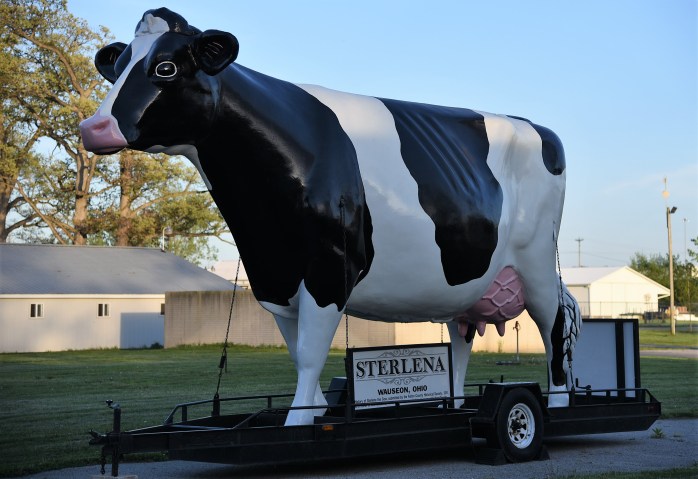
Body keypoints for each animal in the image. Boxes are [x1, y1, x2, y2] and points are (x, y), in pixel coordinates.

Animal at [80, 8, 582, 426]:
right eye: (117, 67)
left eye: (165, 68)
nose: (93, 127)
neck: (259, 219)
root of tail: (540, 128)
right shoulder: (274, 273)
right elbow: (296, 350)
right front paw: (316, 409)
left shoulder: (328, 265)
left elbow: (308, 353)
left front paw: (299, 422)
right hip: (468, 280)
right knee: (461, 338)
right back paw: (454, 403)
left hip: (538, 262)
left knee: (553, 327)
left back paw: (557, 405)